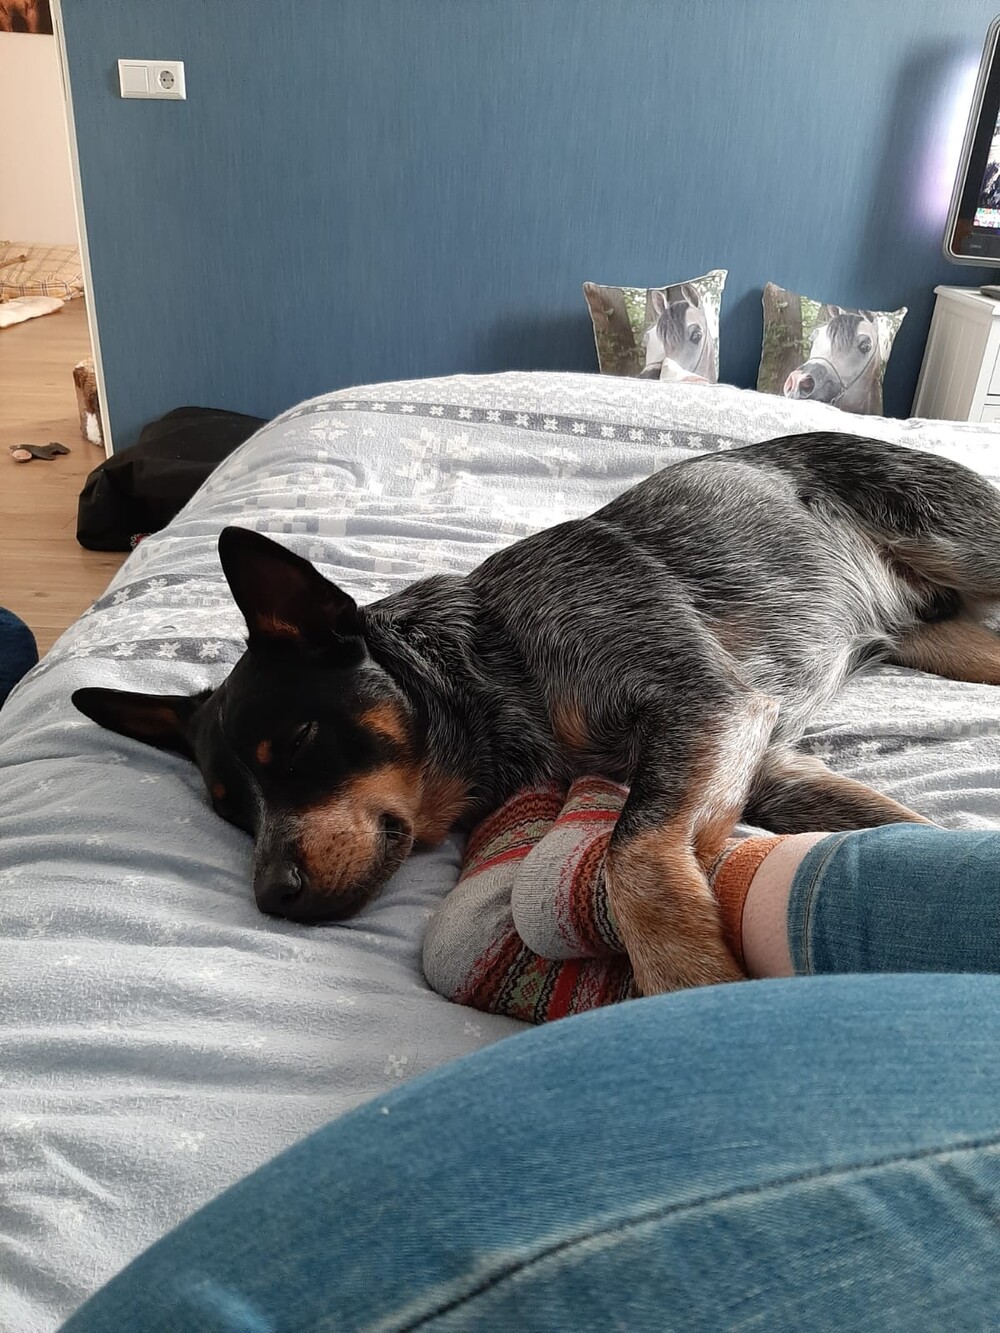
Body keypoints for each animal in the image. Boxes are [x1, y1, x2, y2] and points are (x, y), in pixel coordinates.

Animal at [73, 431, 1000, 996]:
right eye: (232, 811)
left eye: (299, 741)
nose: (271, 894)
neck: (498, 663)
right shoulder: (765, 757)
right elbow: (903, 833)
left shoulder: (707, 703)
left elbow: (632, 855)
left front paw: (688, 986)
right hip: (953, 641)